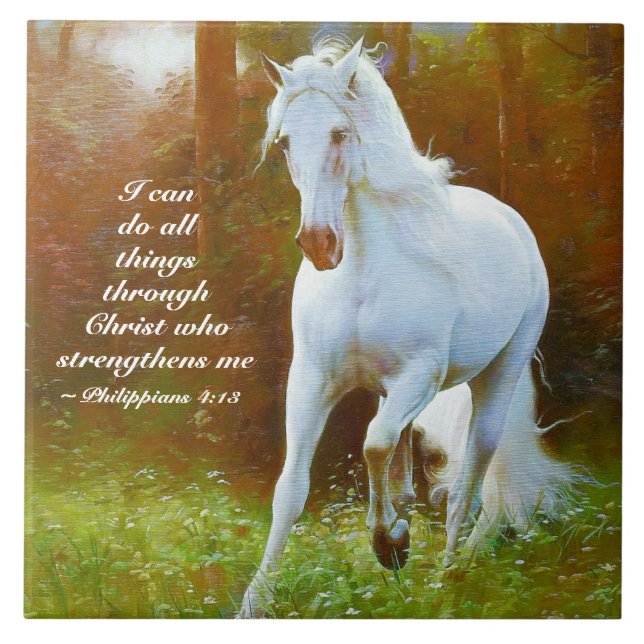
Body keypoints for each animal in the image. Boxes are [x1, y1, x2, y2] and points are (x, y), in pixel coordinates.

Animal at [238, 36, 570, 618]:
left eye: (339, 132)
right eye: (283, 143)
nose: (320, 245)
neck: (362, 273)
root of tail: (511, 219)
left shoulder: (420, 376)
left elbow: (372, 446)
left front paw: (388, 543)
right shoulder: (311, 382)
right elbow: (292, 490)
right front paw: (255, 601)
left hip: (496, 378)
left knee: (469, 484)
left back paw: (448, 580)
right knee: (409, 469)